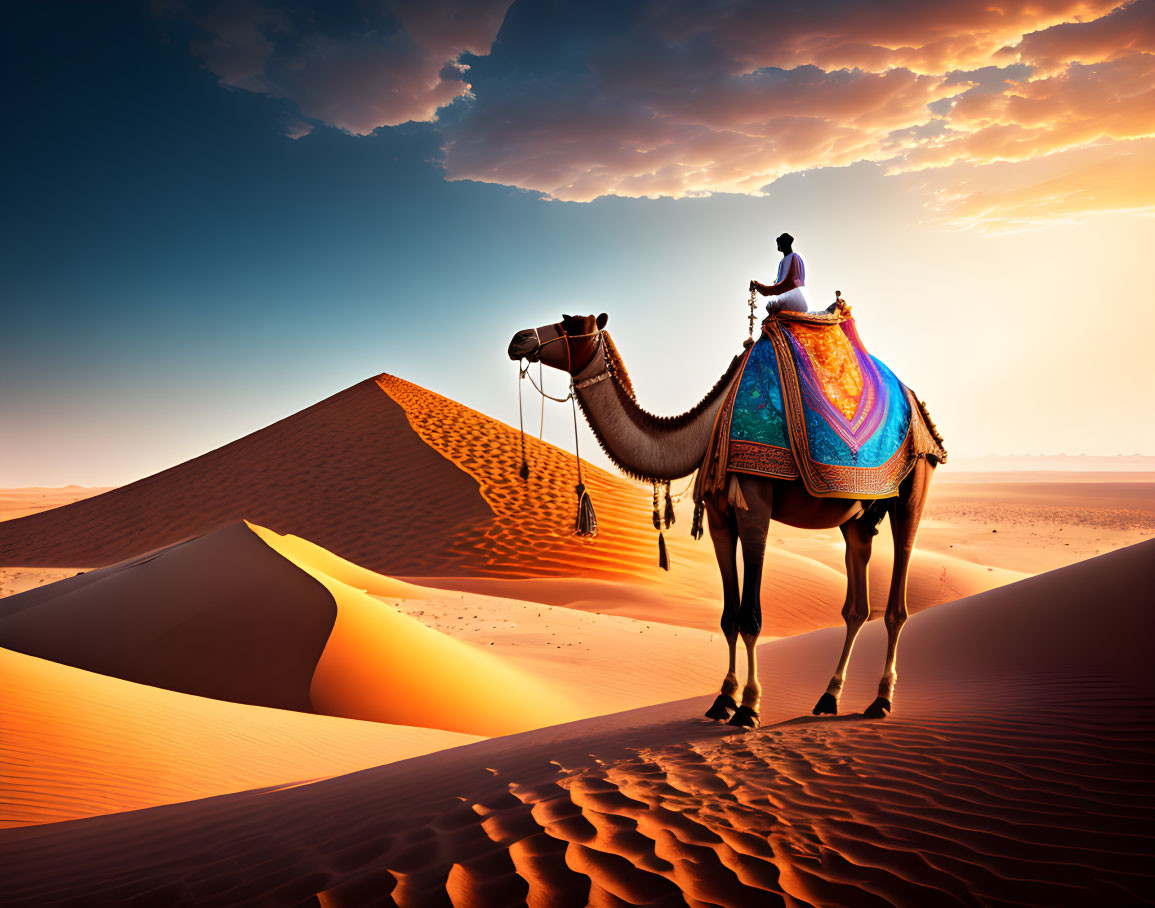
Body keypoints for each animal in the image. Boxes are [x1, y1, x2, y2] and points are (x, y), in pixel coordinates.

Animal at [510, 314, 942, 725]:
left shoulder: (755, 506)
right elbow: (728, 618)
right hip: (855, 513)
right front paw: (723, 701)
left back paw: (880, 700)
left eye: (569, 324)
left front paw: (749, 707)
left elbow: (750, 617)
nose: (519, 339)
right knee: (857, 605)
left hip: (915, 480)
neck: (707, 427)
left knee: (898, 595)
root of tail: (916, 404)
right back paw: (828, 698)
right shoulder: (719, 519)